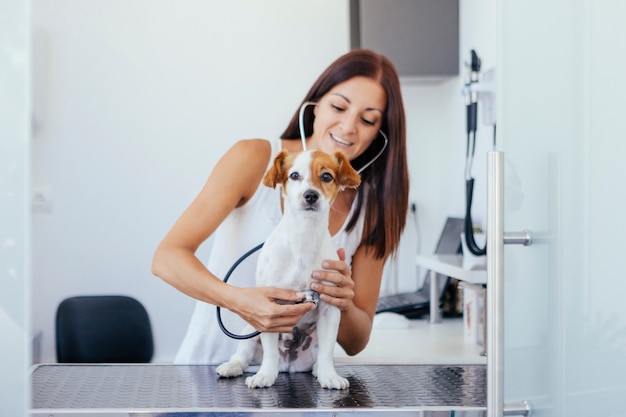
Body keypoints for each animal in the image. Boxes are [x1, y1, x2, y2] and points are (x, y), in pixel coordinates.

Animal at [216, 148, 358, 388]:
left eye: (326, 176)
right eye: (294, 175)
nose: (311, 195)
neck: (304, 238)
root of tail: (289, 366)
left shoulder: (330, 309)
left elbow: (327, 351)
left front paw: (329, 375)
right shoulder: (269, 310)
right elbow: (271, 351)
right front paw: (265, 375)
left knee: (319, 356)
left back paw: (318, 370)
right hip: (250, 329)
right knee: (242, 355)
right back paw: (232, 367)